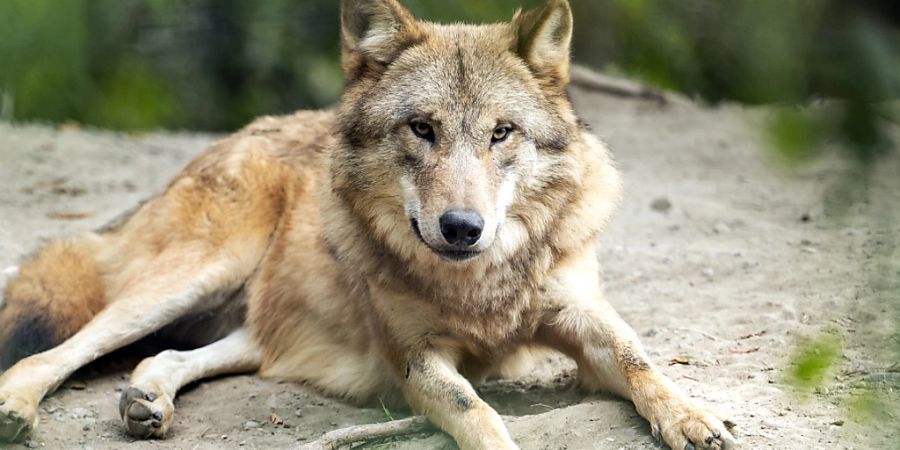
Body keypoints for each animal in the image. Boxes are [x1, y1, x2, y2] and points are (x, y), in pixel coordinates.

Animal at [0, 1, 736, 448]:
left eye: (502, 132)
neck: (481, 285)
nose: (461, 227)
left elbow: (641, 362)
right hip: (190, 277)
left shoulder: (582, 314)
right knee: (56, 351)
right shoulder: (415, 359)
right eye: (422, 129)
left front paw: (693, 416)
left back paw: (147, 399)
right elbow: (474, 409)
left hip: (257, 324)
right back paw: (18, 406)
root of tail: (231, 138)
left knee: (168, 356)